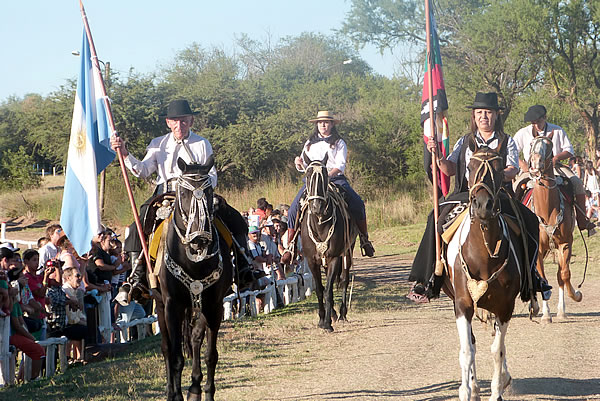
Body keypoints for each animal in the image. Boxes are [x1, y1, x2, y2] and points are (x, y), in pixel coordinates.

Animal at [156, 155, 233, 400]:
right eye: (184, 192)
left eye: (209, 192)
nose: (199, 238)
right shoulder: (172, 305)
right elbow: (175, 356)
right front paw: (176, 394)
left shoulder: (214, 306)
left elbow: (210, 354)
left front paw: (206, 391)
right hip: (160, 304)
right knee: (167, 348)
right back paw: (172, 390)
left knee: (195, 338)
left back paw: (195, 388)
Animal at [300, 153, 356, 332]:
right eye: (307, 175)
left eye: (325, 176)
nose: (317, 207)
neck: (319, 224)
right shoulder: (312, 261)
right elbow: (320, 290)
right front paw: (322, 318)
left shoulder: (334, 258)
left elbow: (329, 291)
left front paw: (327, 324)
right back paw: (332, 313)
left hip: (348, 252)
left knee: (344, 280)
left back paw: (342, 314)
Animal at [442, 138, 528, 400]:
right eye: (470, 167)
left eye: (499, 169)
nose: (482, 206)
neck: (483, 254)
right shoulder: (462, 304)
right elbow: (467, 351)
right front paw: (465, 391)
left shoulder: (505, 307)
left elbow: (497, 350)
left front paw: (497, 391)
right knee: (470, 344)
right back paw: (474, 388)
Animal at [528, 136, 580, 324]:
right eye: (531, 144)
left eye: (549, 146)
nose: (536, 163)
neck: (547, 210)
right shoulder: (538, 249)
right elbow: (543, 278)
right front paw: (545, 314)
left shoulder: (565, 244)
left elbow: (564, 274)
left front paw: (575, 295)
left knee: (560, 276)